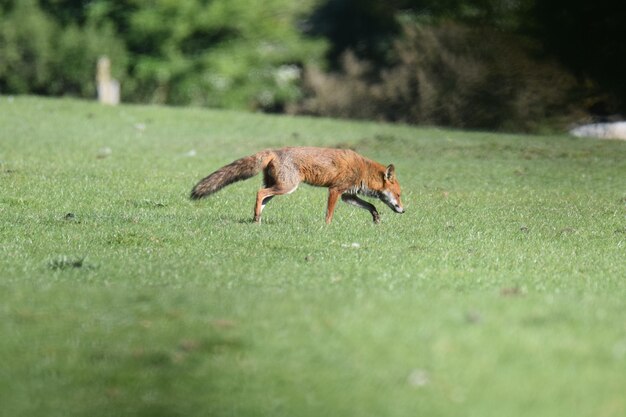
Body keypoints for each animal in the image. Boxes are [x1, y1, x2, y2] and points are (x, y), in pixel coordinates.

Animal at [190, 147, 404, 224]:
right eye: (399, 195)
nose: (404, 210)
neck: (363, 170)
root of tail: (273, 151)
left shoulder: (347, 195)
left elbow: (371, 205)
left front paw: (376, 218)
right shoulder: (335, 190)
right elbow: (329, 214)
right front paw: (326, 228)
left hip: (278, 188)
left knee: (262, 199)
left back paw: (256, 220)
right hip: (286, 187)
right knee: (259, 193)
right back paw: (256, 218)